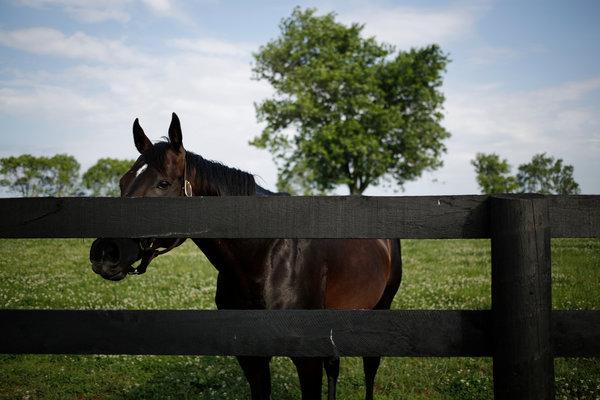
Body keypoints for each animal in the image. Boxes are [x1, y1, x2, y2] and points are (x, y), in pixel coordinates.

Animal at [89, 112, 404, 400]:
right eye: (122, 182)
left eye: (163, 184)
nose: (105, 252)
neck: (266, 258)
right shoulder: (252, 358)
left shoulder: (307, 360)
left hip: (380, 308)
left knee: (370, 366)